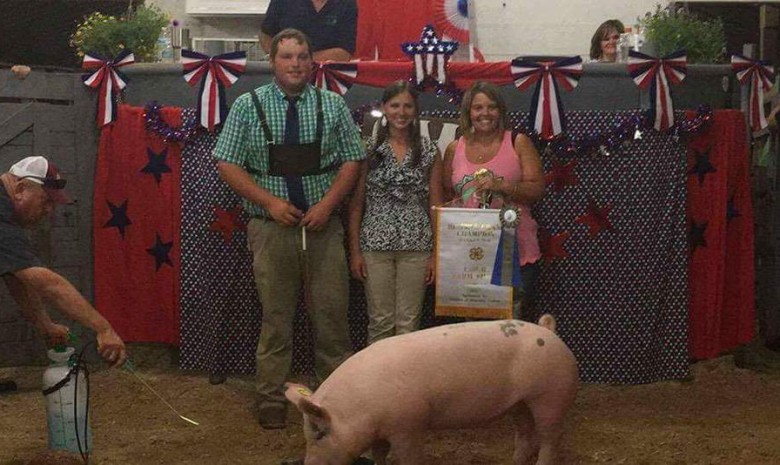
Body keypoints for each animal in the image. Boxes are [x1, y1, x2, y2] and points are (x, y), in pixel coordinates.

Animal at [286, 314, 580, 462]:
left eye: (320, 433)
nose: (309, 463)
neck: (361, 407)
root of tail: (549, 332)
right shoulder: (381, 432)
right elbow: (379, 455)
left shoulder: (410, 425)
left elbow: (408, 458)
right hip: (520, 403)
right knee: (525, 434)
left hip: (551, 395)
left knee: (551, 438)